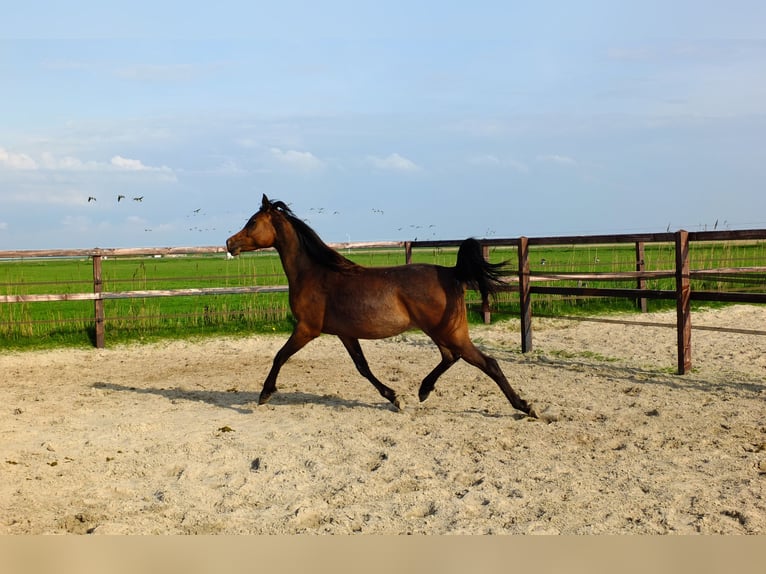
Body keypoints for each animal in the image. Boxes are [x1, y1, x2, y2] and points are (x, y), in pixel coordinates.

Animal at [228, 195, 536, 418]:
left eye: (252, 222)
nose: (230, 243)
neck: (315, 274)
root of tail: (451, 272)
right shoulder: (345, 333)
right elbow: (362, 367)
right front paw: (394, 397)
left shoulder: (307, 329)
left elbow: (279, 356)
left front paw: (265, 394)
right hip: (442, 331)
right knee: (451, 357)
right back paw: (424, 390)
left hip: (449, 332)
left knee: (487, 363)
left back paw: (525, 406)